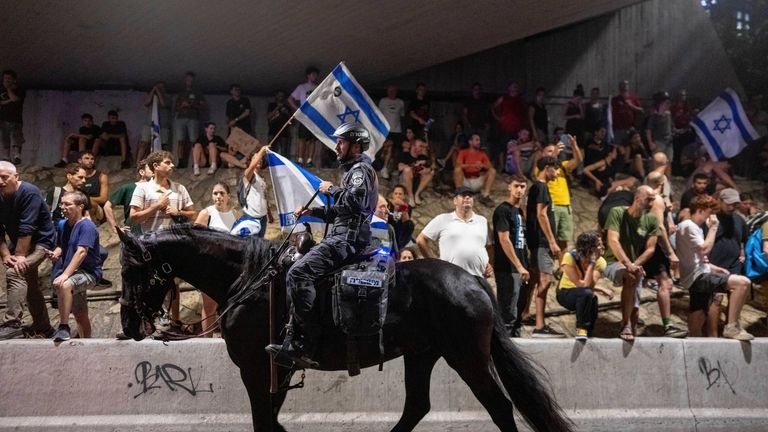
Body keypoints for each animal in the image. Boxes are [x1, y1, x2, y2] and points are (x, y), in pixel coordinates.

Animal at [120, 224, 572, 432]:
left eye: (132, 270)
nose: (127, 324)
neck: (249, 280)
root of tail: (473, 281)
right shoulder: (276, 371)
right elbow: (273, 421)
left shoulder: (257, 368)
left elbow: (265, 422)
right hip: (422, 355)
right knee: (417, 406)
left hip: (467, 357)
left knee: (498, 406)